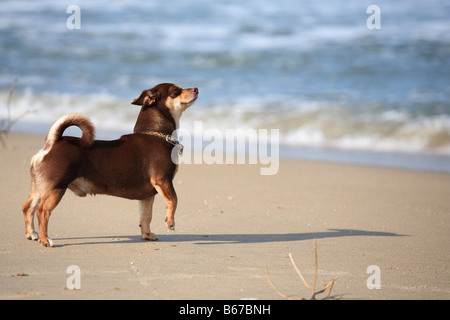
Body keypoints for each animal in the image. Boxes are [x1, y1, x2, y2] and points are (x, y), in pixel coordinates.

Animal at [21, 83, 197, 248]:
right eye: (176, 90)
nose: (196, 88)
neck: (156, 134)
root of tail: (52, 143)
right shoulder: (163, 180)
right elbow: (174, 199)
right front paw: (170, 222)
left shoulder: (148, 196)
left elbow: (146, 217)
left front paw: (147, 235)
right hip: (56, 188)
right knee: (42, 212)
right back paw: (45, 240)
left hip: (40, 187)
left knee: (28, 207)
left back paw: (32, 234)